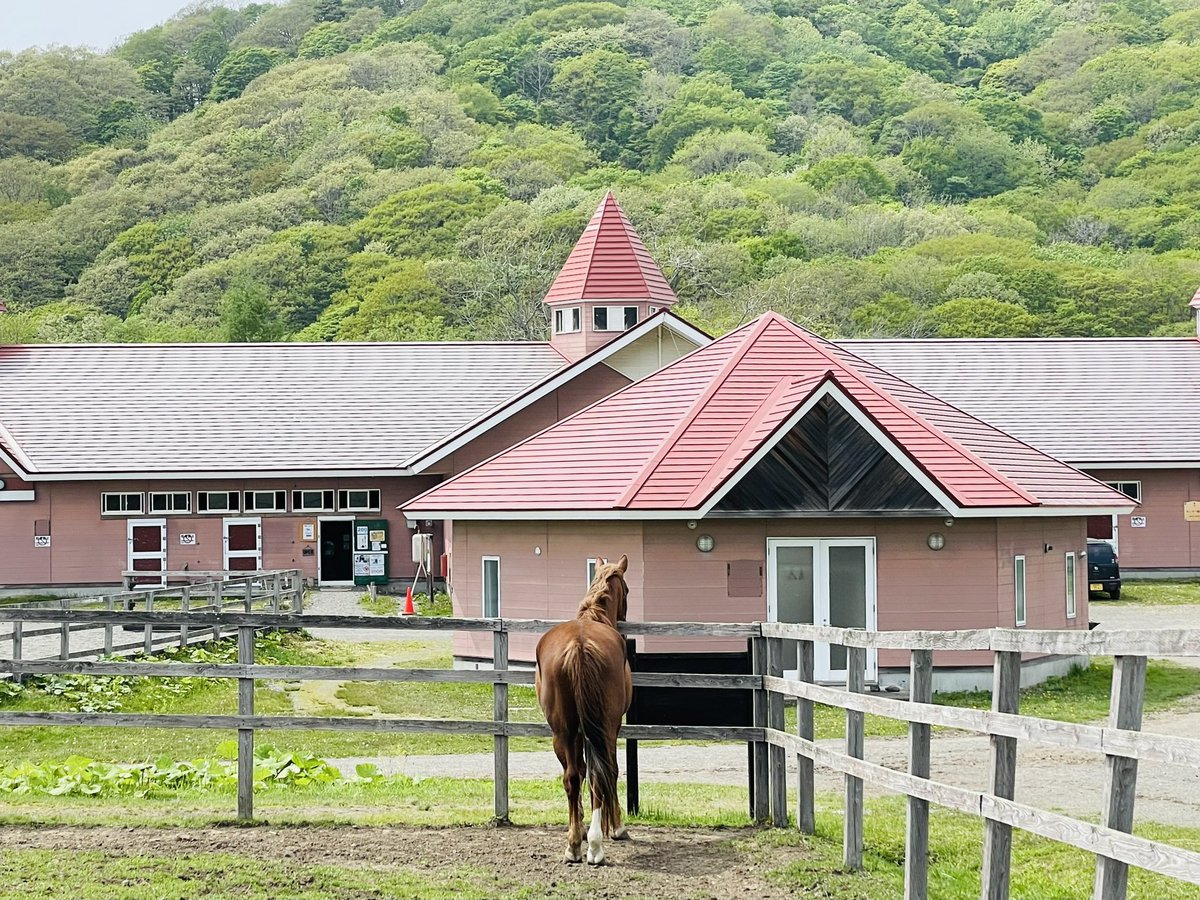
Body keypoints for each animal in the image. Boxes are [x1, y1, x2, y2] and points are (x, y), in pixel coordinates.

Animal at [537, 556, 633, 868]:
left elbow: (578, 773)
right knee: (600, 774)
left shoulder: (576, 732)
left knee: (572, 777)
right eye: (627, 590)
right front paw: (616, 827)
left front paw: (577, 828)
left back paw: (574, 846)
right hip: (604, 727)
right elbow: (608, 771)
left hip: (563, 731)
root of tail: (579, 645)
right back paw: (595, 846)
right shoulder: (612, 728)